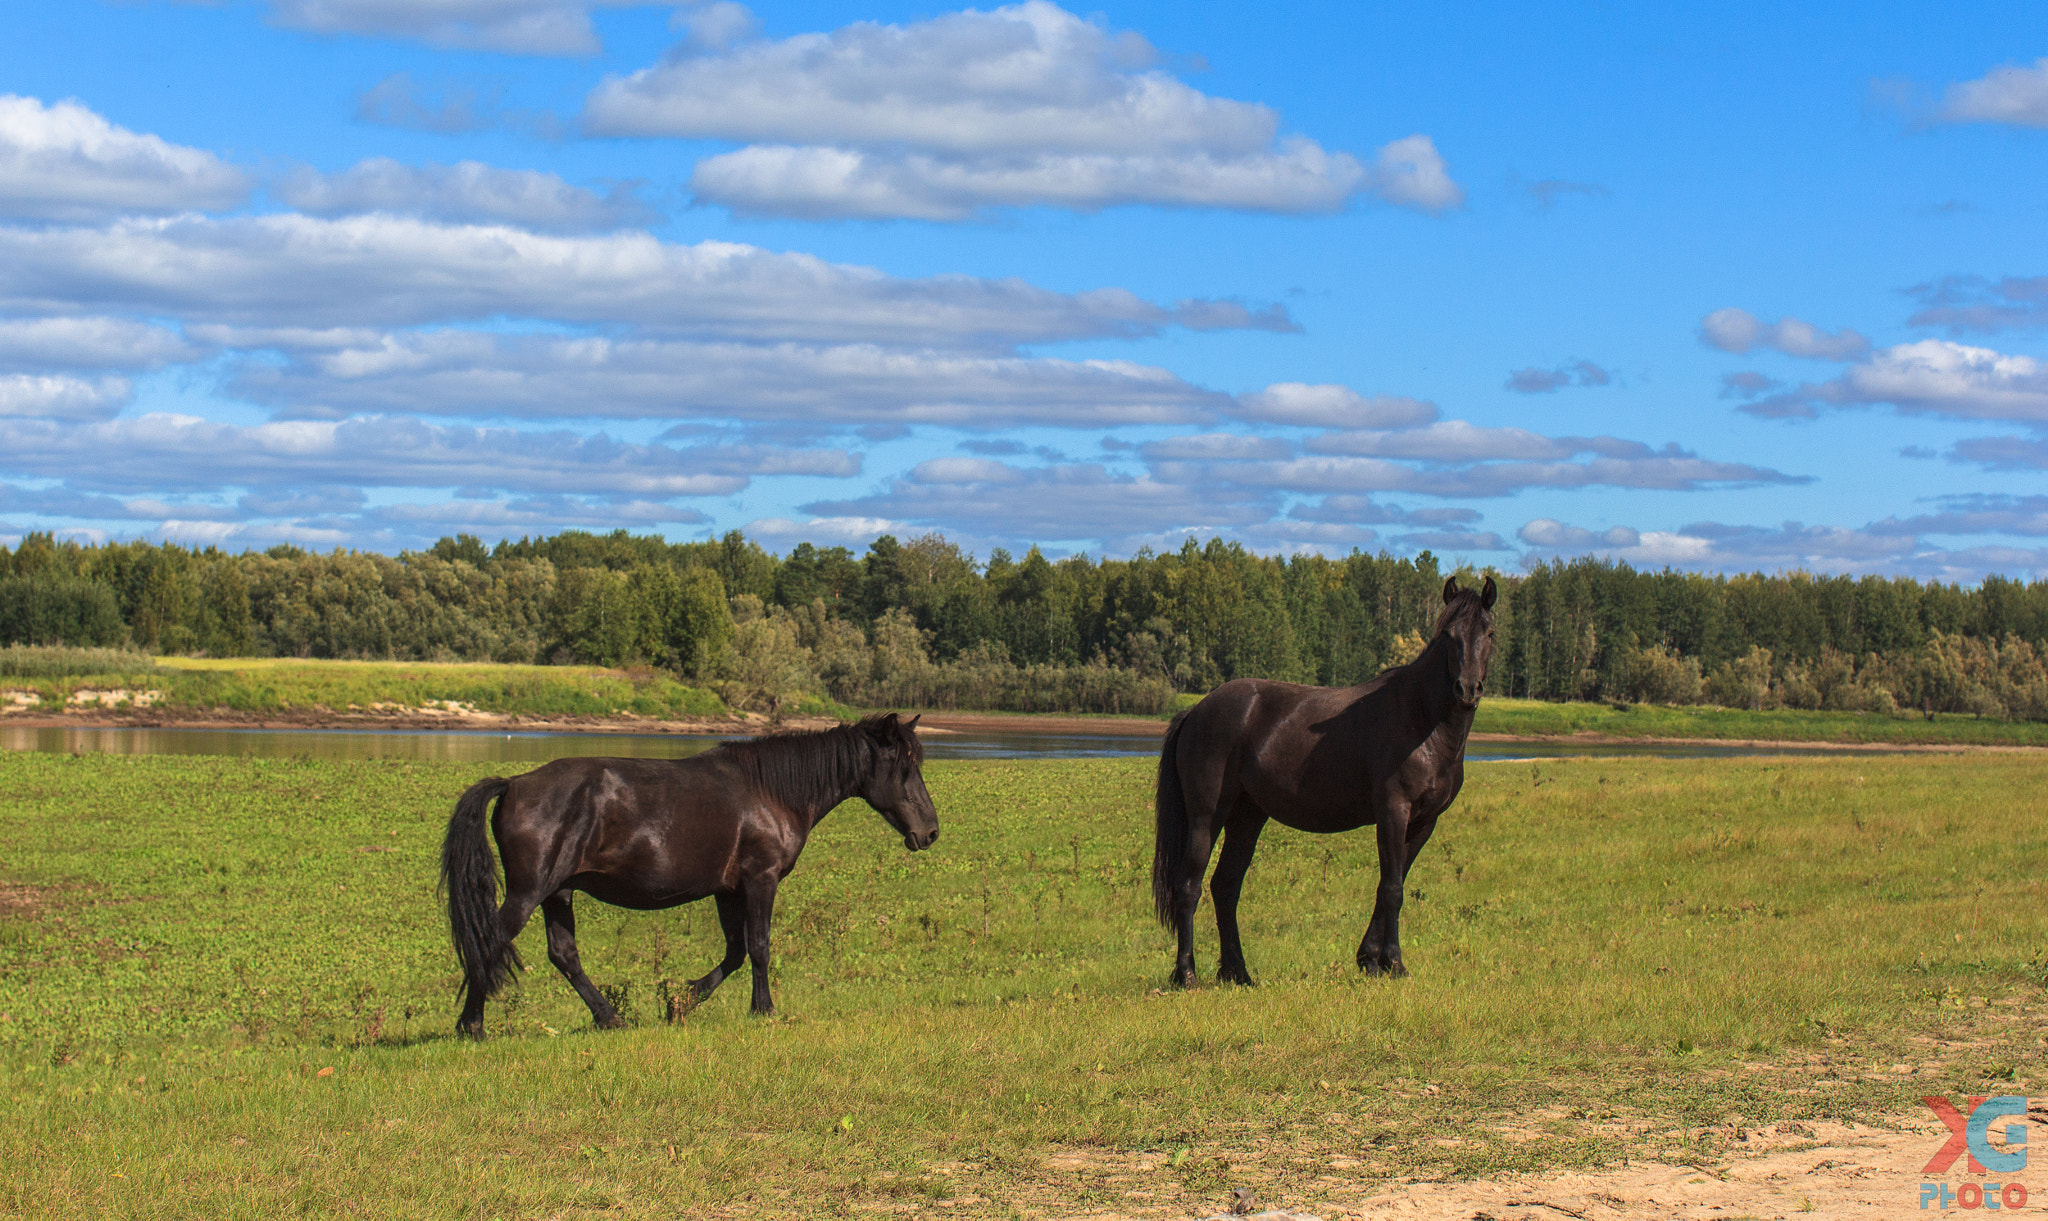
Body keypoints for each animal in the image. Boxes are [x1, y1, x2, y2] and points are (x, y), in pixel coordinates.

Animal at [439, 712, 938, 1036]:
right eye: (905, 767)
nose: (930, 831)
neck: (771, 791)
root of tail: (514, 784)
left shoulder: (728, 890)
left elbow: (735, 952)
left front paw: (679, 1001)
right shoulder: (760, 879)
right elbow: (759, 947)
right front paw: (764, 1010)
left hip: (558, 893)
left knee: (564, 955)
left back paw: (610, 1018)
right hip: (529, 892)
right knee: (490, 941)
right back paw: (472, 1025)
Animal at [1151, 576, 1497, 987]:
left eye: (1489, 632)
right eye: (1448, 635)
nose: (1467, 689)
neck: (1422, 721)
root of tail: (1196, 710)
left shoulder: (1425, 821)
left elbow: (1390, 884)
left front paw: (1370, 959)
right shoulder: (1393, 812)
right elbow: (1392, 888)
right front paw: (1393, 963)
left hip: (1247, 817)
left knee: (1225, 886)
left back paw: (1238, 972)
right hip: (1207, 816)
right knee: (1189, 886)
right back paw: (1187, 974)